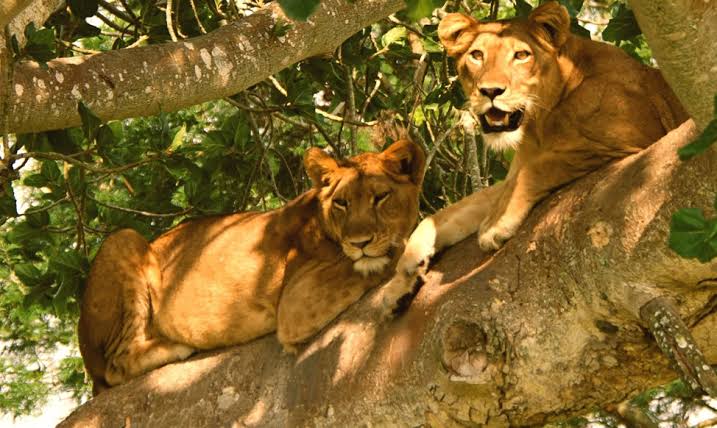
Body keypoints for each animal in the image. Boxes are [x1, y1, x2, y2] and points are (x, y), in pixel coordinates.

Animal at [79, 139, 425, 395]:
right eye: (342, 202)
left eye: (381, 197)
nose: (360, 242)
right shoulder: (296, 303)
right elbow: (390, 255)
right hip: (123, 239)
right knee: (115, 365)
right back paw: (177, 347)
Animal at [379, 1, 688, 313]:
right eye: (477, 55)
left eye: (521, 55)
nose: (490, 91)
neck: (540, 122)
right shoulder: (513, 172)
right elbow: (452, 211)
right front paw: (402, 273)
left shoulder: (630, 141)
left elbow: (539, 168)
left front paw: (495, 225)